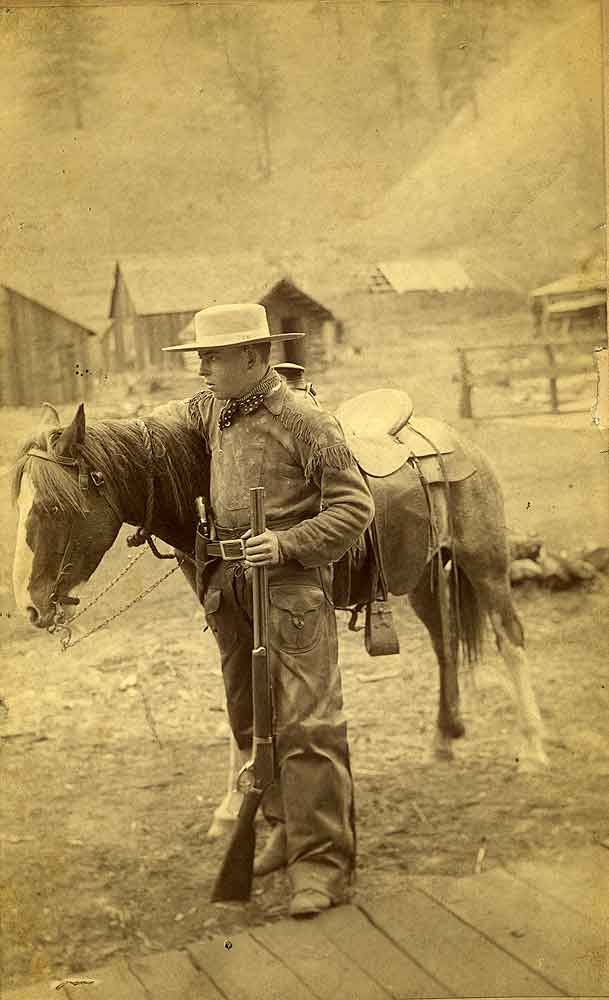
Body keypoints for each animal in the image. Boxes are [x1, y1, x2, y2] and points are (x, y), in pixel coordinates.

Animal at [11, 394, 548, 832]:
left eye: (53, 509)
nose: (31, 607)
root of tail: (456, 443)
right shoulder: (229, 625)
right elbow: (240, 708)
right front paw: (236, 806)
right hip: (419, 576)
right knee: (444, 643)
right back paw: (444, 738)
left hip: (485, 564)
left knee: (511, 637)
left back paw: (533, 748)